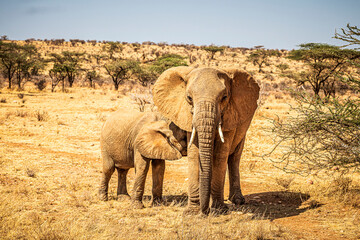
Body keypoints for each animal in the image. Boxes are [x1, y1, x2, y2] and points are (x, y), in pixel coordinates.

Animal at [152, 66, 258, 215]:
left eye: (224, 97)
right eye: (189, 98)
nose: (205, 211)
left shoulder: (230, 116)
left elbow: (220, 155)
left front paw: (219, 210)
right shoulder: (188, 117)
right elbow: (195, 154)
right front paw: (192, 212)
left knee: (234, 157)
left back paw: (237, 201)